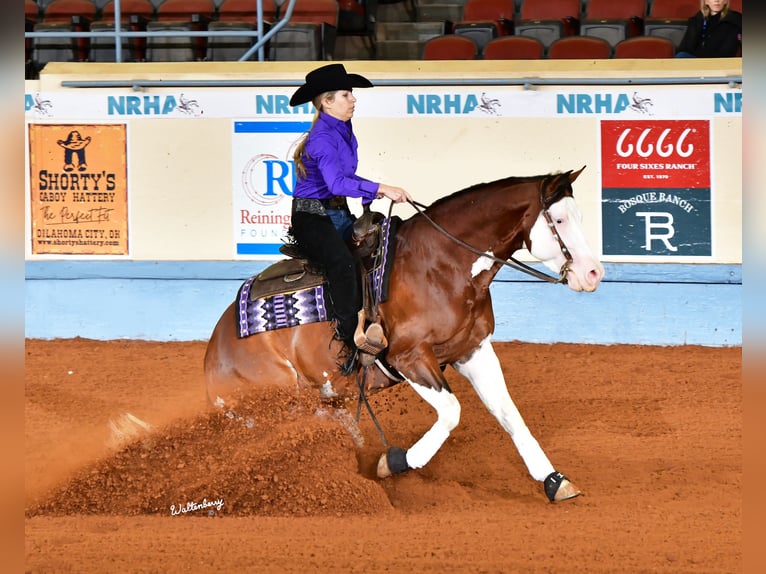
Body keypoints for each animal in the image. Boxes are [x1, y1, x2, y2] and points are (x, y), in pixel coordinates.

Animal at [204, 166, 608, 504]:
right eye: (559, 219)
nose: (594, 272)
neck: (442, 265)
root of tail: (215, 349)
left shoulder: (473, 350)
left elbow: (508, 412)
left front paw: (553, 481)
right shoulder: (408, 357)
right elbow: (451, 412)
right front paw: (394, 461)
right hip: (273, 402)